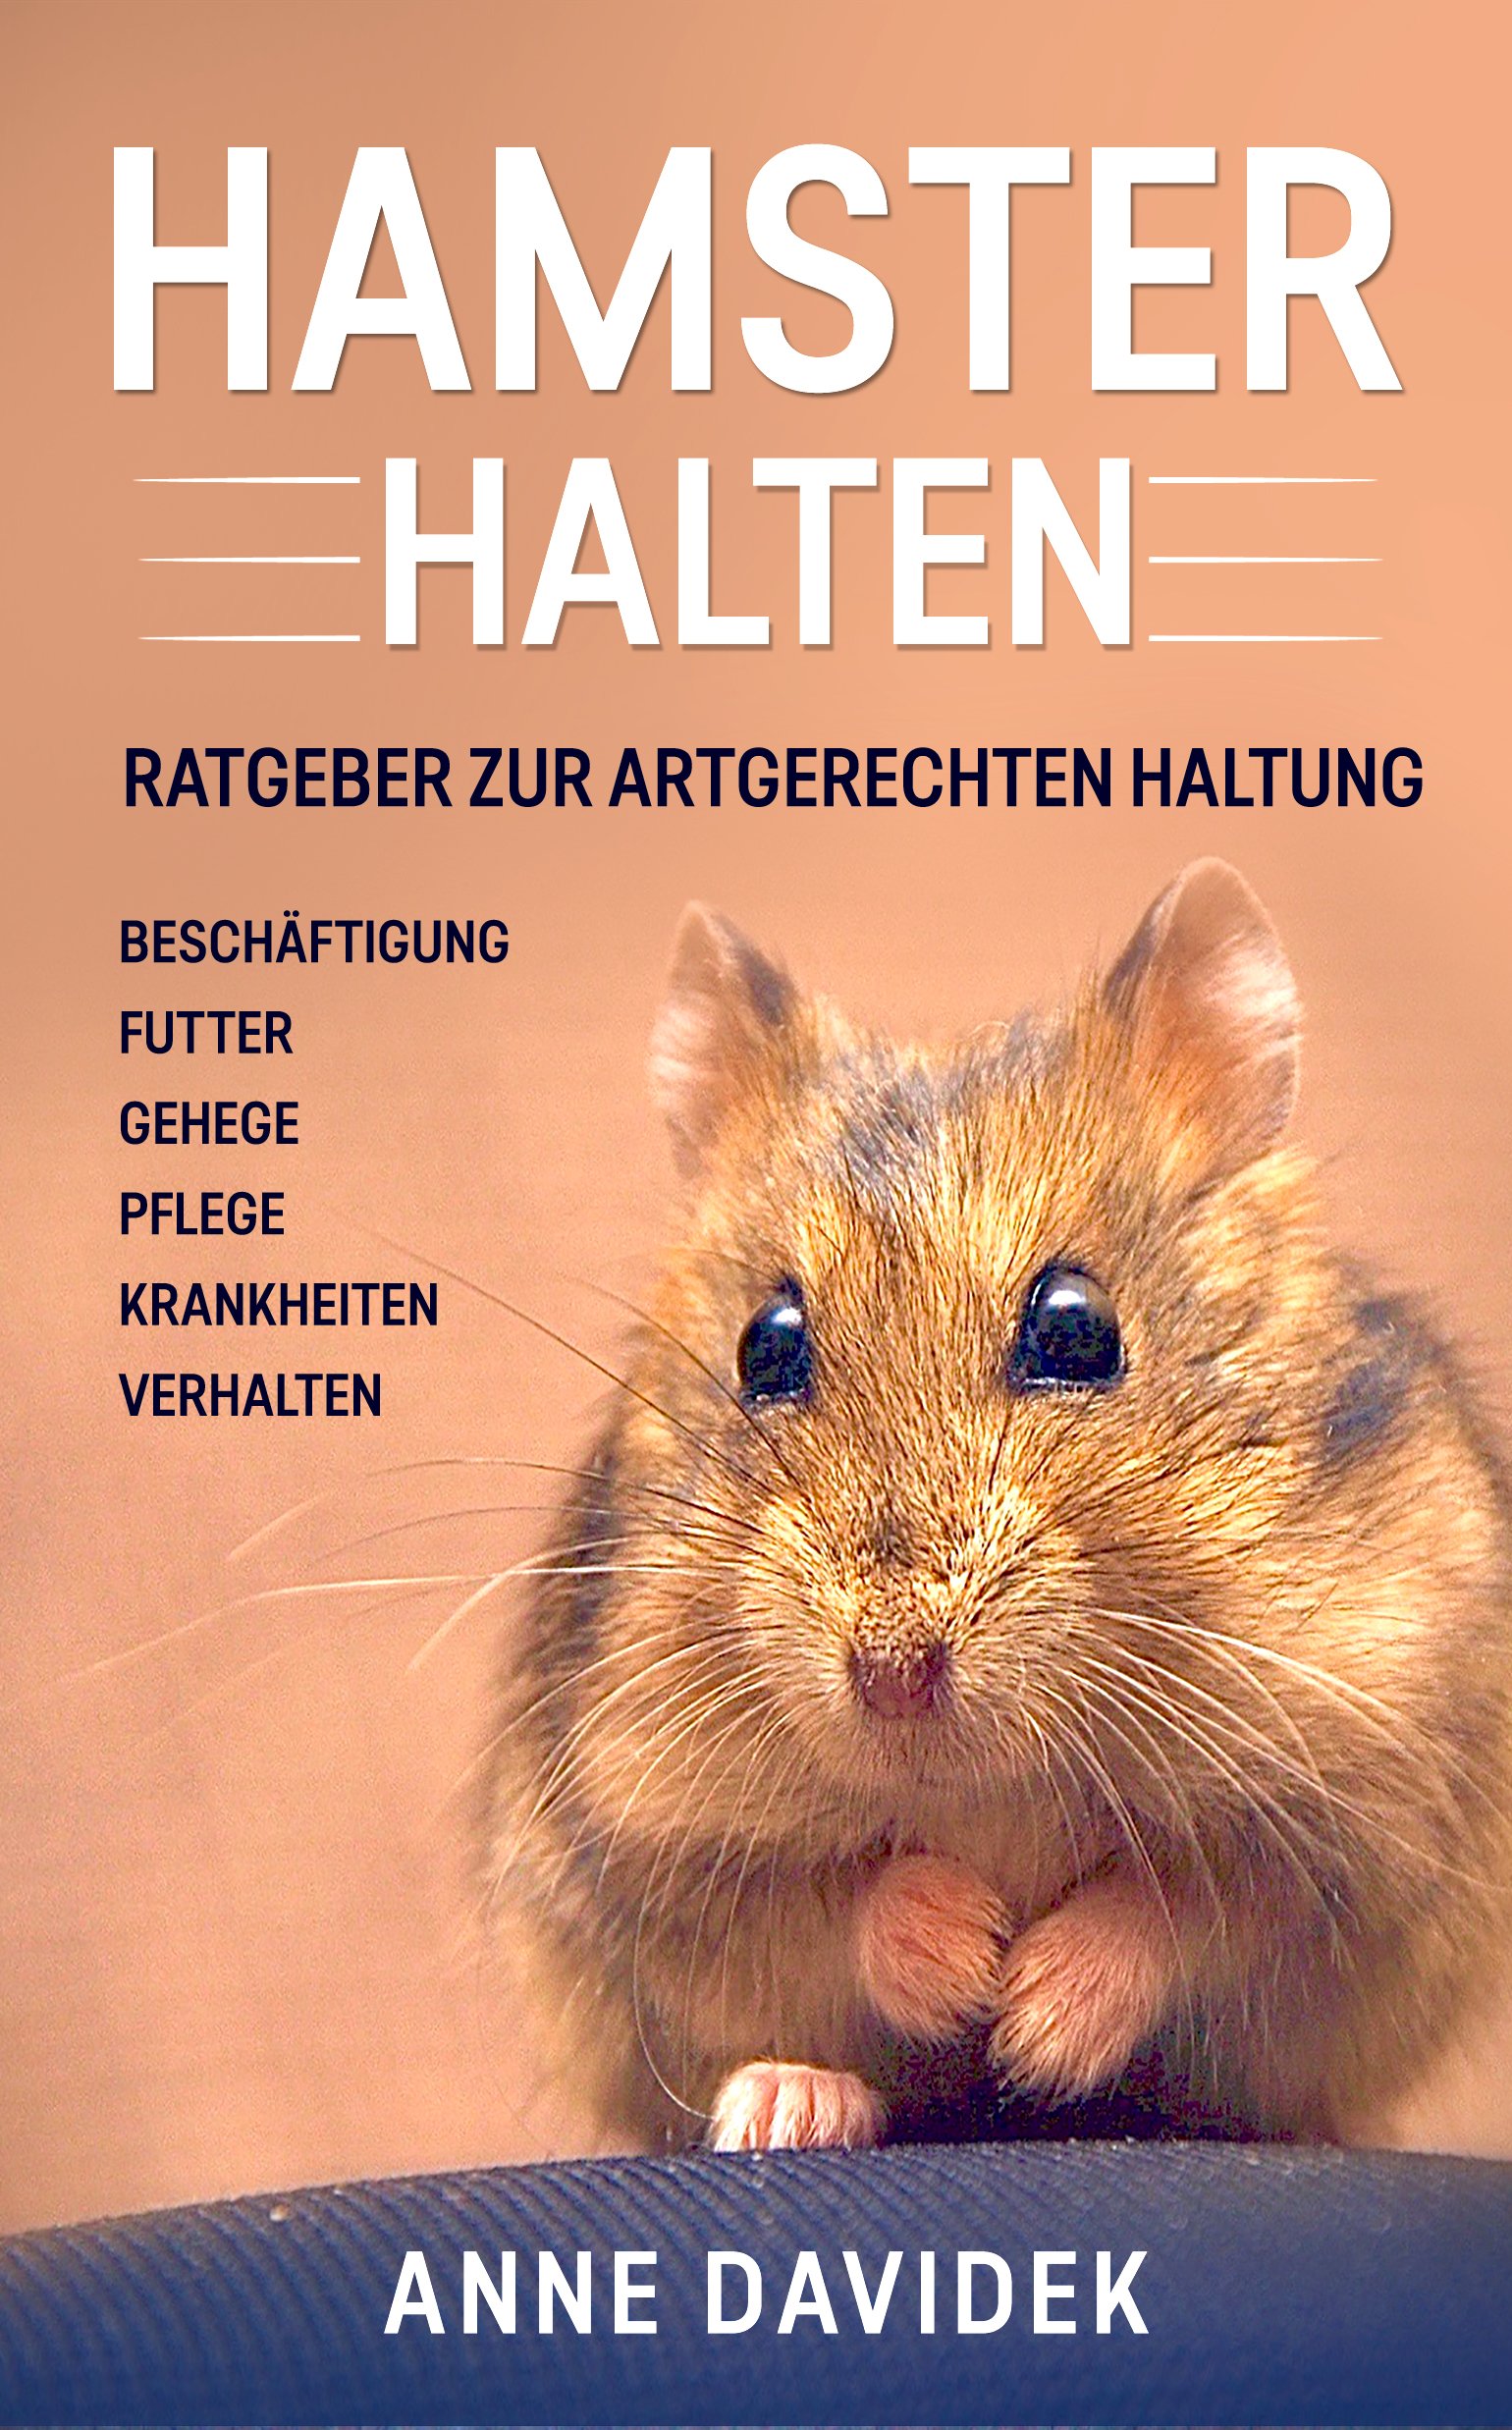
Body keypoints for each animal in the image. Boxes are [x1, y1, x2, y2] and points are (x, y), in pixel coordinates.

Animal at [482, 860, 1512, 2152]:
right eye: (765, 1344)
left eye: (1075, 1328)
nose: (891, 1677)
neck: (988, 1787)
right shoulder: (639, 1838)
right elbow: (831, 1898)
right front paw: (970, 1957)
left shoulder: (1368, 1812)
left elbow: (1183, 1903)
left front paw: (1030, 2019)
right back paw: (787, 2105)